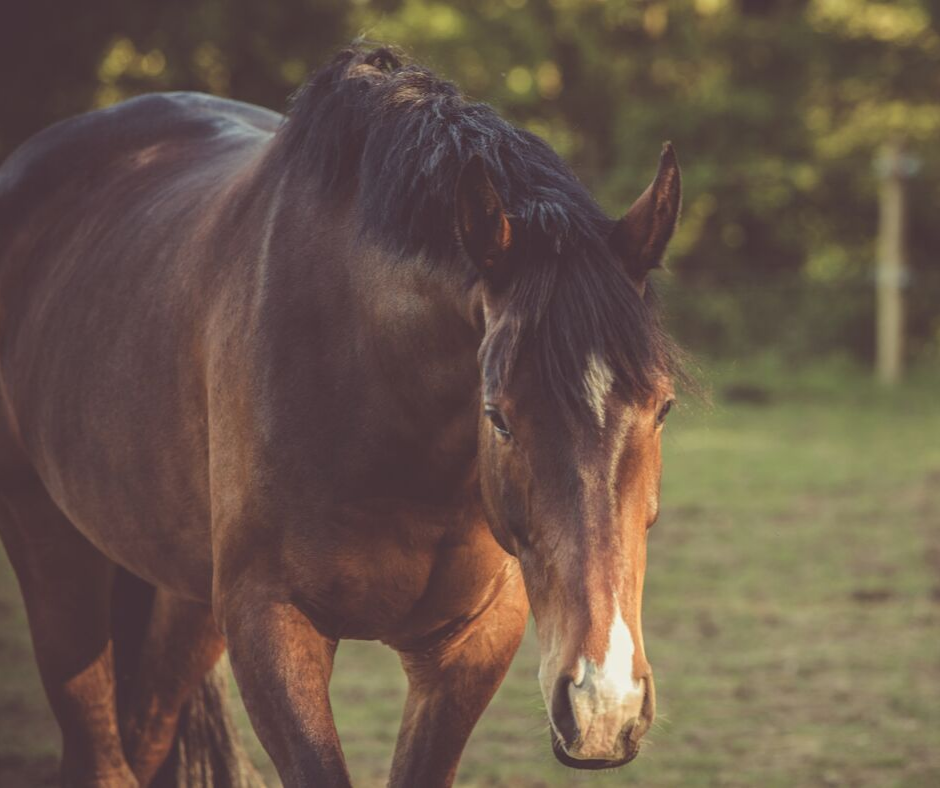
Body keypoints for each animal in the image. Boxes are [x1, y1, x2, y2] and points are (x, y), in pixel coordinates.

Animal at [0, 44, 688, 788]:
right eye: (498, 416)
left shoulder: (469, 644)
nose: (603, 704)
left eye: (662, 408)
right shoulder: (270, 629)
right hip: (53, 551)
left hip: (184, 603)